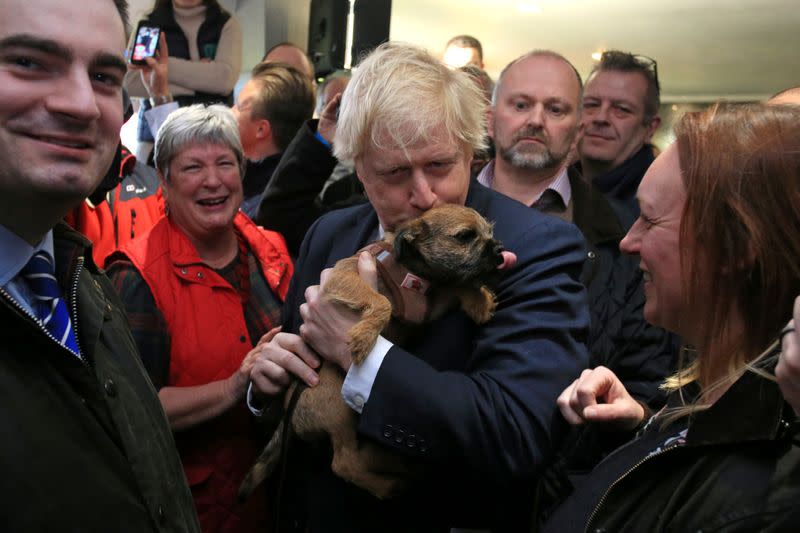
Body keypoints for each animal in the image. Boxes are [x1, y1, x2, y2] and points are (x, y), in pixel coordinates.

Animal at [236, 203, 506, 498]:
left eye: (489, 232)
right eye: (465, 236)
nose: (499, 250)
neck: (413, 272)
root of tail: (289, 415)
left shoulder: (428, 308)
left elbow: (456, 285)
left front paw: (479, 301)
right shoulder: (343, 278)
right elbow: (381, 301)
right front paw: (364, 336)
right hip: (338, 406)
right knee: (344, 463)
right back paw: (390, 482)